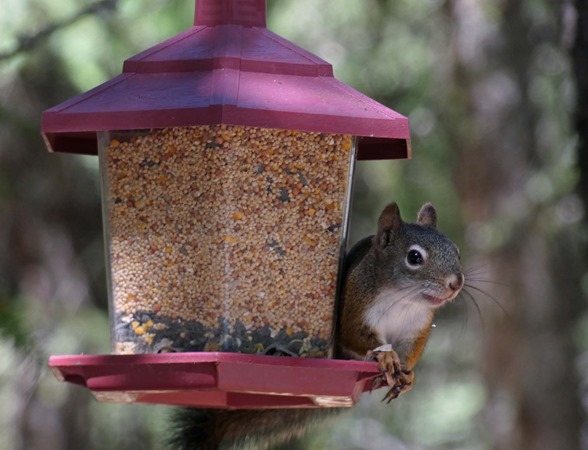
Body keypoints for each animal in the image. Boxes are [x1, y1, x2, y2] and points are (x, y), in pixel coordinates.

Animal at [169, 202, 464, 448]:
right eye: (414, 258)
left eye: (457, 251)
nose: (456, 283)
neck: (404, 300)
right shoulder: (355, 308)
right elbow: (355, 335)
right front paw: (387, 357)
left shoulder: (418, 327)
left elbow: (410, 351)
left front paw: (407, 374)